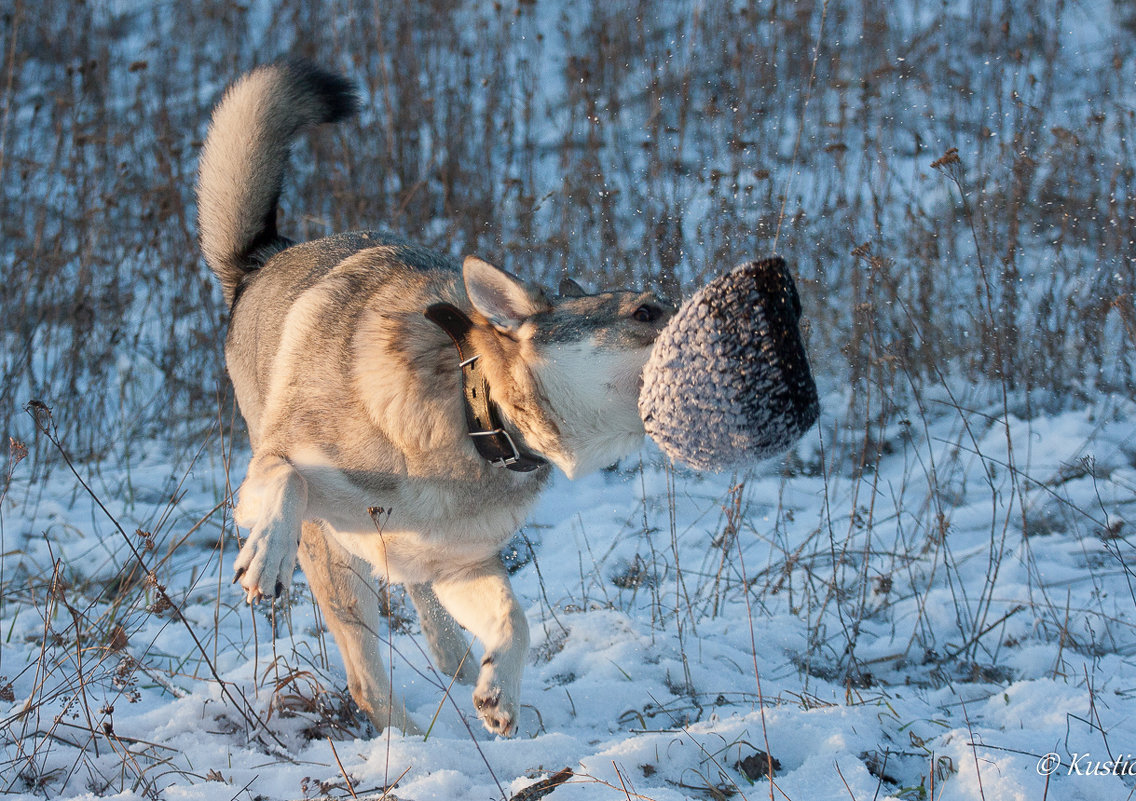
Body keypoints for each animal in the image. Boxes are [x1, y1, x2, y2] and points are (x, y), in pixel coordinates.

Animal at [197, 60, 672, 736]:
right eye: (646, 312)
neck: (473, 418)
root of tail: (263, 257)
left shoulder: (461, 563)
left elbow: (515, 620)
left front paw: (500, 692)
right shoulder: (269, 478)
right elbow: (288, 482)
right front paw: (263, 558)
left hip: (407, 558)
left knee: (425, 615)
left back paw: (458, 671)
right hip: (337, 559)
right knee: (367, 677)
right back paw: (414, 744)